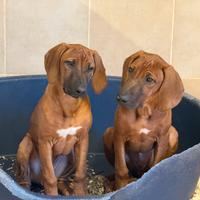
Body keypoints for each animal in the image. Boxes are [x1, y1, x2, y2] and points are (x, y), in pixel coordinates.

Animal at [15, 42, 107, 195]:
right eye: (69, 63)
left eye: (91, 68)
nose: (81, 90)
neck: (69, 105)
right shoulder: (45, 142)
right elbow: (49, 178)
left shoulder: (83, 139)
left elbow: (80, 175)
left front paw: (80, 193)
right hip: (25, 144)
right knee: (25, 179)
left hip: (71, 156)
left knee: (61, 180)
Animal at [104, 50, 184, 190]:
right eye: (131, 69)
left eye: (149, 79)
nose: (120, 98)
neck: (143, 112)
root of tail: (138, 173)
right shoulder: (119, 135)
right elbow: (121, 170)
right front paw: (120, 188)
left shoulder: (162, 138)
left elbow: (155, 167)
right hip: (108, 133)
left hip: (173, 134)